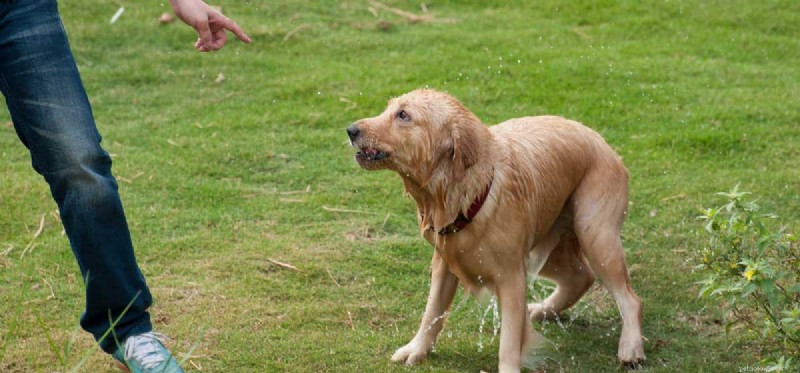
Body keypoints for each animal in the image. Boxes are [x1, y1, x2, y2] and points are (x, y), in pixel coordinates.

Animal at [346, 88, 648, 370]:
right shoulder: (445, 263)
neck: (466, 195)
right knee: (580, 276)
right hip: (547, 246)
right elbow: (432, 313)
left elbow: (509, 341)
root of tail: (602, 140)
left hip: (594, 234)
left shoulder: (511, 275)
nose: (350, 130)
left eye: (404, 115)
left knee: (629, 298)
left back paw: (630, 348)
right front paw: (416, 349)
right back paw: (544, 309)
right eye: (388, 109)